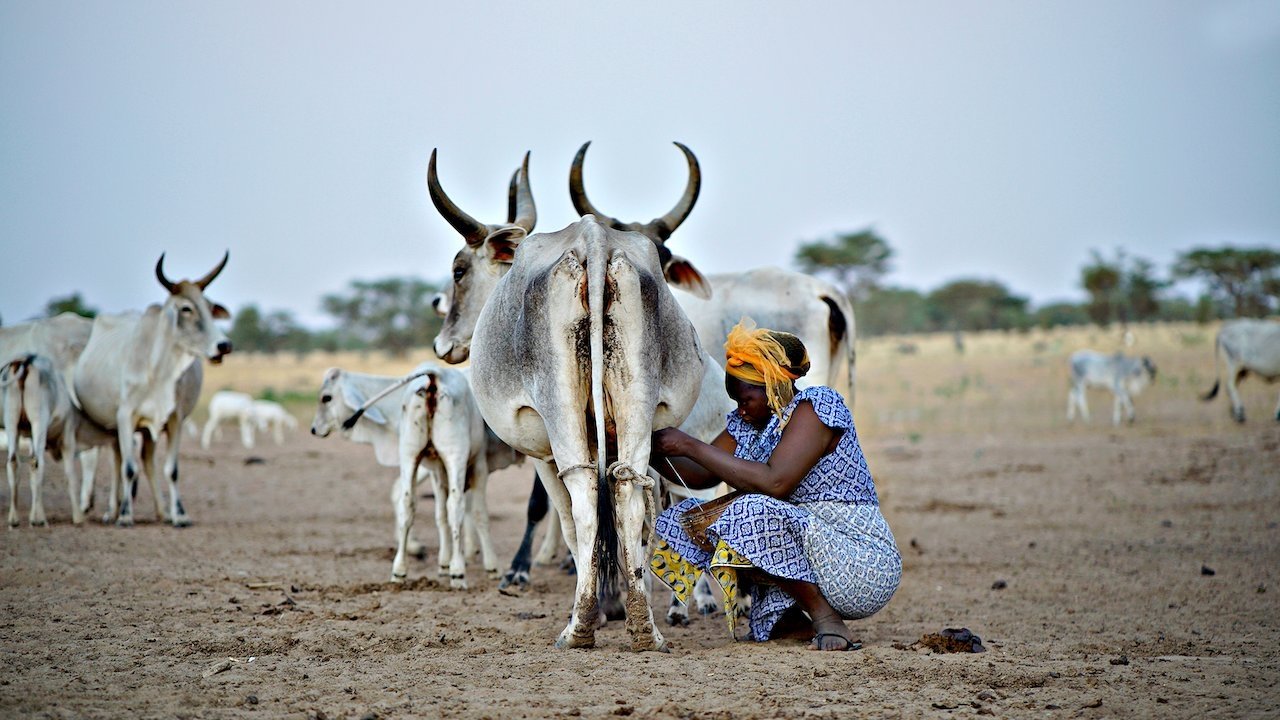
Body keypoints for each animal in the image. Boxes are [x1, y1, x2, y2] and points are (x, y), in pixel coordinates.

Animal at [73, 254, 232, 525]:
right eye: (186, 308)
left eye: (210, 307)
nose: (223, 345)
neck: (158, 369)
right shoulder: (124, 417)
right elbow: (128, 469)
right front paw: (125, 515)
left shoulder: (175, 419)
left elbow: (172, 469)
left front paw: (179, 514)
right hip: (114, 426)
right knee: (118, 462)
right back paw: (112, 511)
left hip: (145, 430)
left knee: (145, 462)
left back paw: (161, 511)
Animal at [309, 363, 514, 584]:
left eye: (326, 397)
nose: (313, 429)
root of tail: (434, 375)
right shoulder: (448, 467)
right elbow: (457, 512)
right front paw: (458, 561)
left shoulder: (467, 464)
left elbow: (468, 513)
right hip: (445, 456)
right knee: (451, 504)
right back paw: (453, 570)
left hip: (419, 455)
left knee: (420, 504)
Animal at [430, 147, 711, 650]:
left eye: (459, 270)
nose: (444, 345)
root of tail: (593, 244)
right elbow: (625, 520)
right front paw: (618, 600)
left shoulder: (539, 448)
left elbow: (561, 515)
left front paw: (592, 603)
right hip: (638, 406)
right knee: (628, 492)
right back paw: (645, 626)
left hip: (558, 412)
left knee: (582, 496)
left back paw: (578, 626)